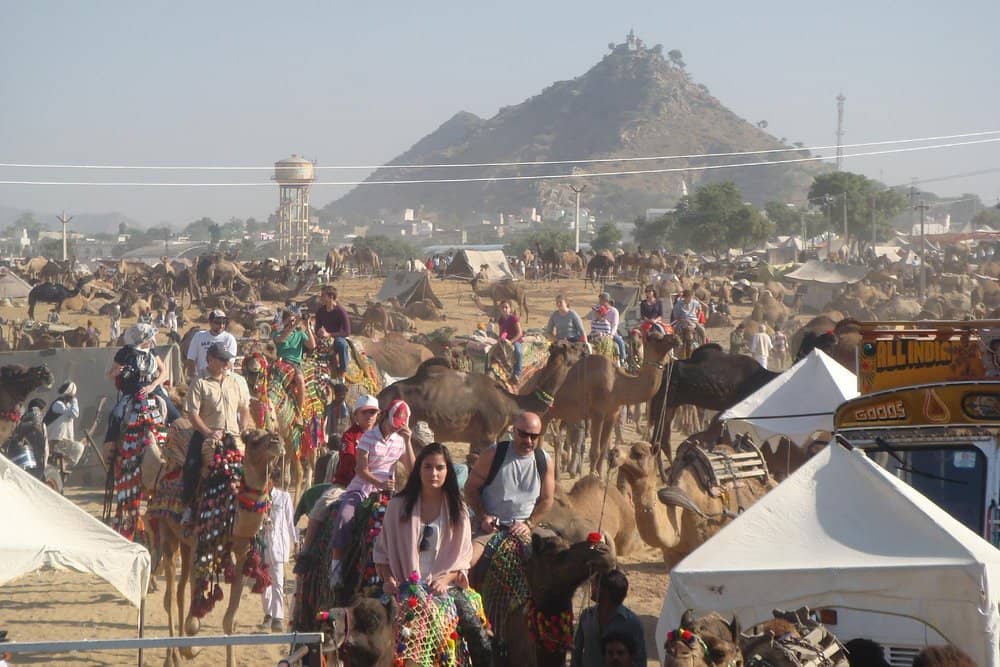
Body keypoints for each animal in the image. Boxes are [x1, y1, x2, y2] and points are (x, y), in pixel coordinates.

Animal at [380, 342, 584, 456]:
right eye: (573, 347)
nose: (584, 350)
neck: (512, 404)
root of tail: (381, 396)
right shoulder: (488, 436)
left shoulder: (479, 438)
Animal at [544, 328, 684, 474]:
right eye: (656, 338)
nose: (676, 338)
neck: (617, 384)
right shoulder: (597, 414)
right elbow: (595, 451)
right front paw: (591, 476)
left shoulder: (612, 414)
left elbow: (602, 450)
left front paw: (599, 475)